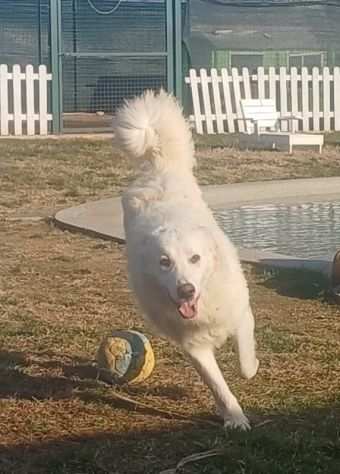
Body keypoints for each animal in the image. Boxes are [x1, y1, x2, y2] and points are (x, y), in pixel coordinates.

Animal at [113, 90, 258, 430]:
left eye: (195, 259)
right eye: (164, 262)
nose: (186, 290)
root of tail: (157, 169)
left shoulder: (241, 314)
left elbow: (245, 361)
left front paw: (252, 368)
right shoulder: (194, 346)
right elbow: (218, 384)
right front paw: (234, 416)